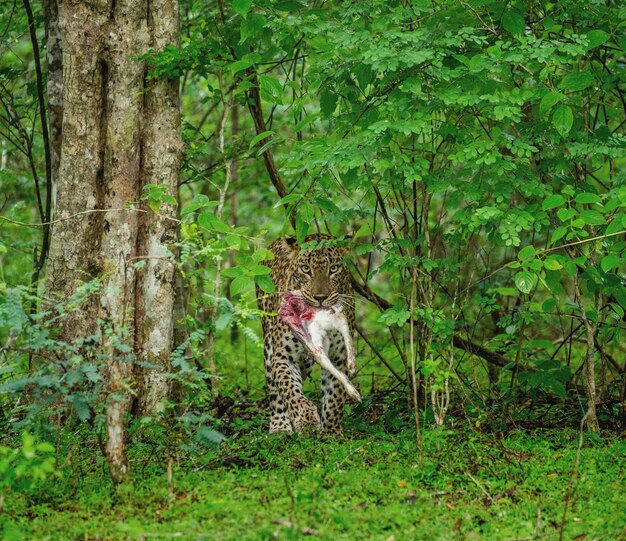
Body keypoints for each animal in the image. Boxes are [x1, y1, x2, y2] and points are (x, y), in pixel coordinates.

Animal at [255, 232, 356, 434]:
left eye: (333, 268)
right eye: (305, 269)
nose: (320, 298)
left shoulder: (339, 357)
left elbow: (334, 396)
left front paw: (330, 432)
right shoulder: (284, 356)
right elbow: (291, 391)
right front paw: (306, 420)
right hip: (270, 346)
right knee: (274, 390)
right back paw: (280, 426)